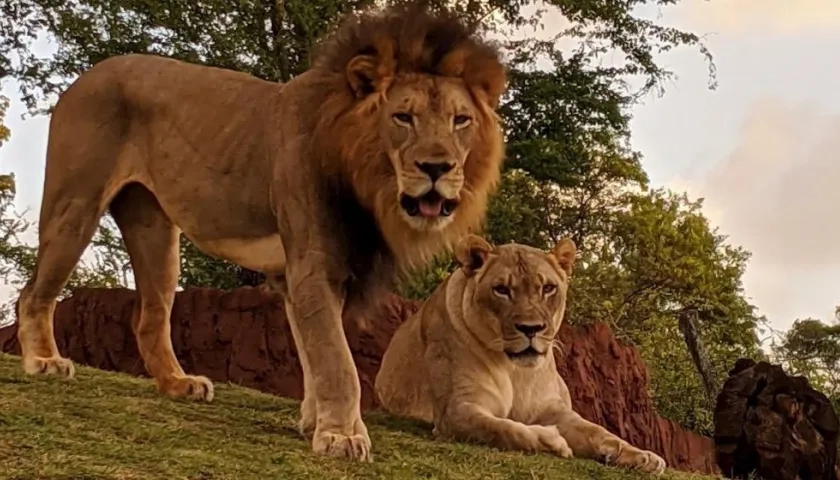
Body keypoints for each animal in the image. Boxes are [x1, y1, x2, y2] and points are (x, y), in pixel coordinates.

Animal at [14, 3, 506, 462]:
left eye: (460, 120)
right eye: (404, 117)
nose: (437, 167)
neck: (368, 179)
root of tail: (86, 75)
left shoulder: (298, 275)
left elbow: (312, 353)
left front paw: (314, 422)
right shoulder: (313, 264)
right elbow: (337, 359)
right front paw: (342, 435)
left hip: (156, 232)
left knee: (149, 318)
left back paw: (177, 384)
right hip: (75, 206)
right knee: (33, 293)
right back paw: (44, 361)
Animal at [375, 235, 667, 475]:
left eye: (548, 288)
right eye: (502, 290)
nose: (531, 328)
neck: (515, 370)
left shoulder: (552, 409)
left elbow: (596, 430)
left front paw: (641, 455)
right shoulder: (456, 410)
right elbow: (506, 430)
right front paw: (553, 441)